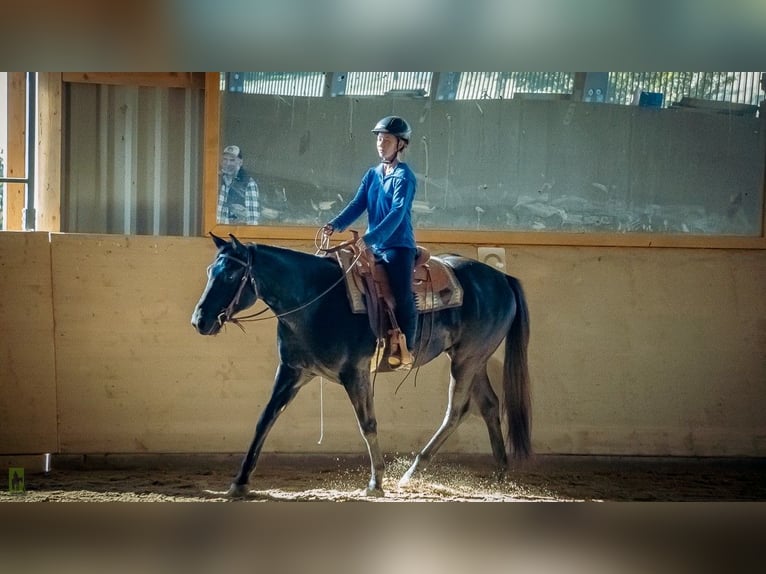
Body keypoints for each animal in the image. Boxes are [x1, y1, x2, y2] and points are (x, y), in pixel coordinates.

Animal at [190, 234, 536, 500]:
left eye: (230, 275)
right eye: (209, 270)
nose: (200, 321)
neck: (315, 300)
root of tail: (502, 279)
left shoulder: (354, 373)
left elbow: (367, 424)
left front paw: (376, 482)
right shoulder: (292, 370)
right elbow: (265, 420)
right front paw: (240, 482)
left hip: (467, 359)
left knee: (457, 411)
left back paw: (412, 472)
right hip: (472, 359)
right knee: (489, 405)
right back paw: (500, 473)